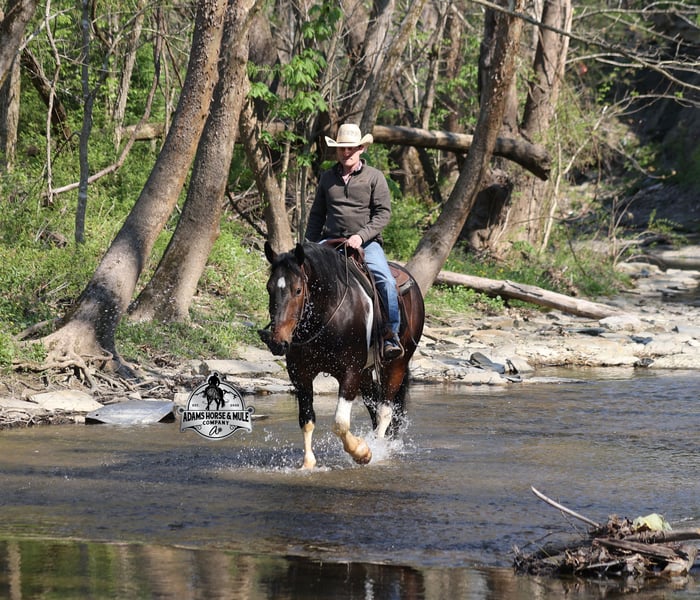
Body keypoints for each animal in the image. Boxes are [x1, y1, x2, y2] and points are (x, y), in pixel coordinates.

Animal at [260, 241, 424, 469]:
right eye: (269, 288)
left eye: (298, 290)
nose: (277, 341)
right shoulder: (301, 375)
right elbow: (307, 419)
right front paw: (308, 463)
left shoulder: (350, 372)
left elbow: (340, 423)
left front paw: (362, 453)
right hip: (366, 372)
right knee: (374, 407)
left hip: (396, 363)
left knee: (385, 410)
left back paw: (379, 449)